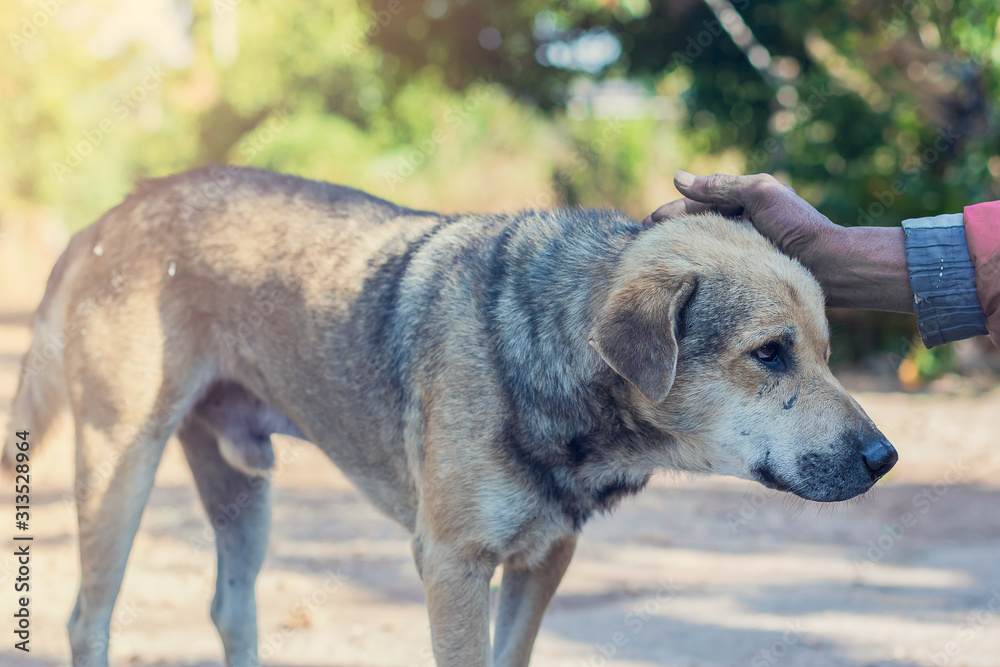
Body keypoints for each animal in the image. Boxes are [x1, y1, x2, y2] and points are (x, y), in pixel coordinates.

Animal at [1, 164, 900, 664]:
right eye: (770, 352)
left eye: (825, 350)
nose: (885, 458)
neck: (541, 345)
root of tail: (106, 219)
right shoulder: (453, 564)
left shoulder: (545, 558)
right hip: (119, 467)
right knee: (86, 619)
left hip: (240, 492)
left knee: (230, 611)